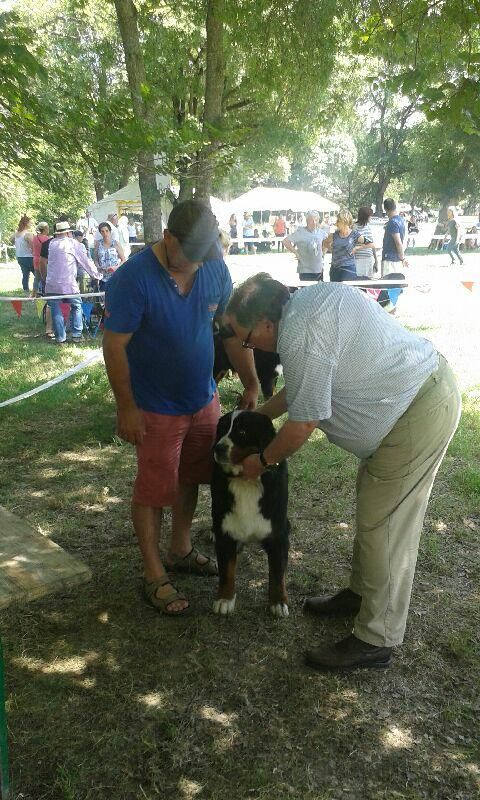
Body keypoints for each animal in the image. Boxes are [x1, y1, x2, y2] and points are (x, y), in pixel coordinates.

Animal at [211, 410, 290, 617]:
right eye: (222, 429)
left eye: (242, 431)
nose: (218, 448)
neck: (246, 481)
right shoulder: (225, 531)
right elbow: (226, 571)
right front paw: (225, 598)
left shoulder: (278, 534)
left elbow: (277, 573)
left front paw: (278, 602)